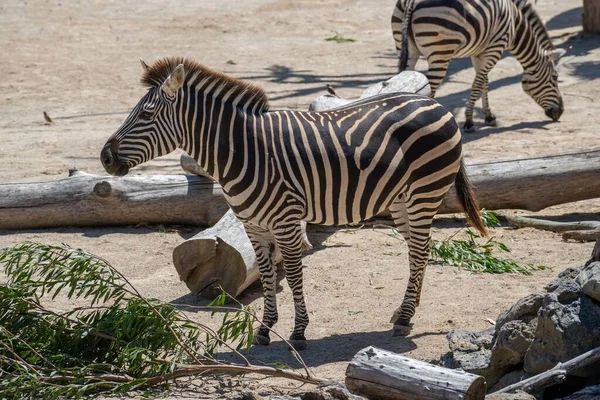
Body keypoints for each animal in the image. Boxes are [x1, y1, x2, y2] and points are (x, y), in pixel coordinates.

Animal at [102, 57, 488, 348]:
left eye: (147, 115)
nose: (105, 157)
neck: (246, 151)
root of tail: (435, 102)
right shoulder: (254, 227)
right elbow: (267, 275)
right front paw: (264, 329)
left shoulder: (287, 223)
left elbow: (294, 275)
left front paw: (299, 331)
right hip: (401, 200)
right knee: (420, 249)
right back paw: (404, 313)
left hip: (425, 190)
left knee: (420, 250)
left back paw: (405, 317)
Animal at [392, 0, 564, 132]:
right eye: (555, 77)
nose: (561, 112)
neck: (515, 25)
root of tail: (411, 2)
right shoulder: (495, 47)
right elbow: (477, 84)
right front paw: (469, 121)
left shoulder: (479, 52)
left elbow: (484, 82)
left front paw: (489, 116)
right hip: (440, 52)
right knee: (430, 90)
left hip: (407, 49)